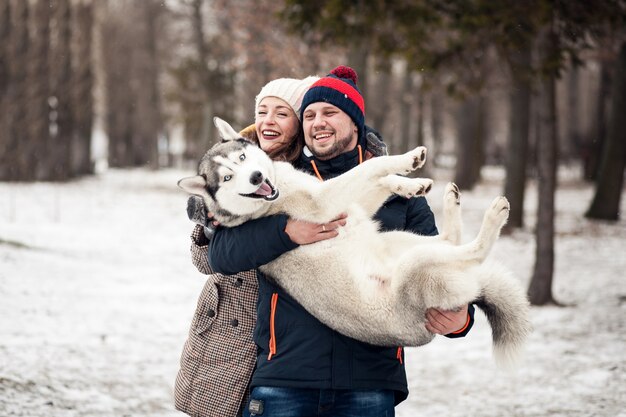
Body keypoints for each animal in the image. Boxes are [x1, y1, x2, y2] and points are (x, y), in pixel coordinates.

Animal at [179, 117, 532, 368]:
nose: (255, 177)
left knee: (449, 239)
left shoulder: (351, 204)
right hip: (414, 264)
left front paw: (412, 184)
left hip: (399, 241)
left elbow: (378, 180)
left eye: (242, 156)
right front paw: (409, 160)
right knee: (471, 251)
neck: (276, 192)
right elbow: (372, 166)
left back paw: (451, 199)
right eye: (227, 177)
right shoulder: (326, 199)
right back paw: (494, 216)